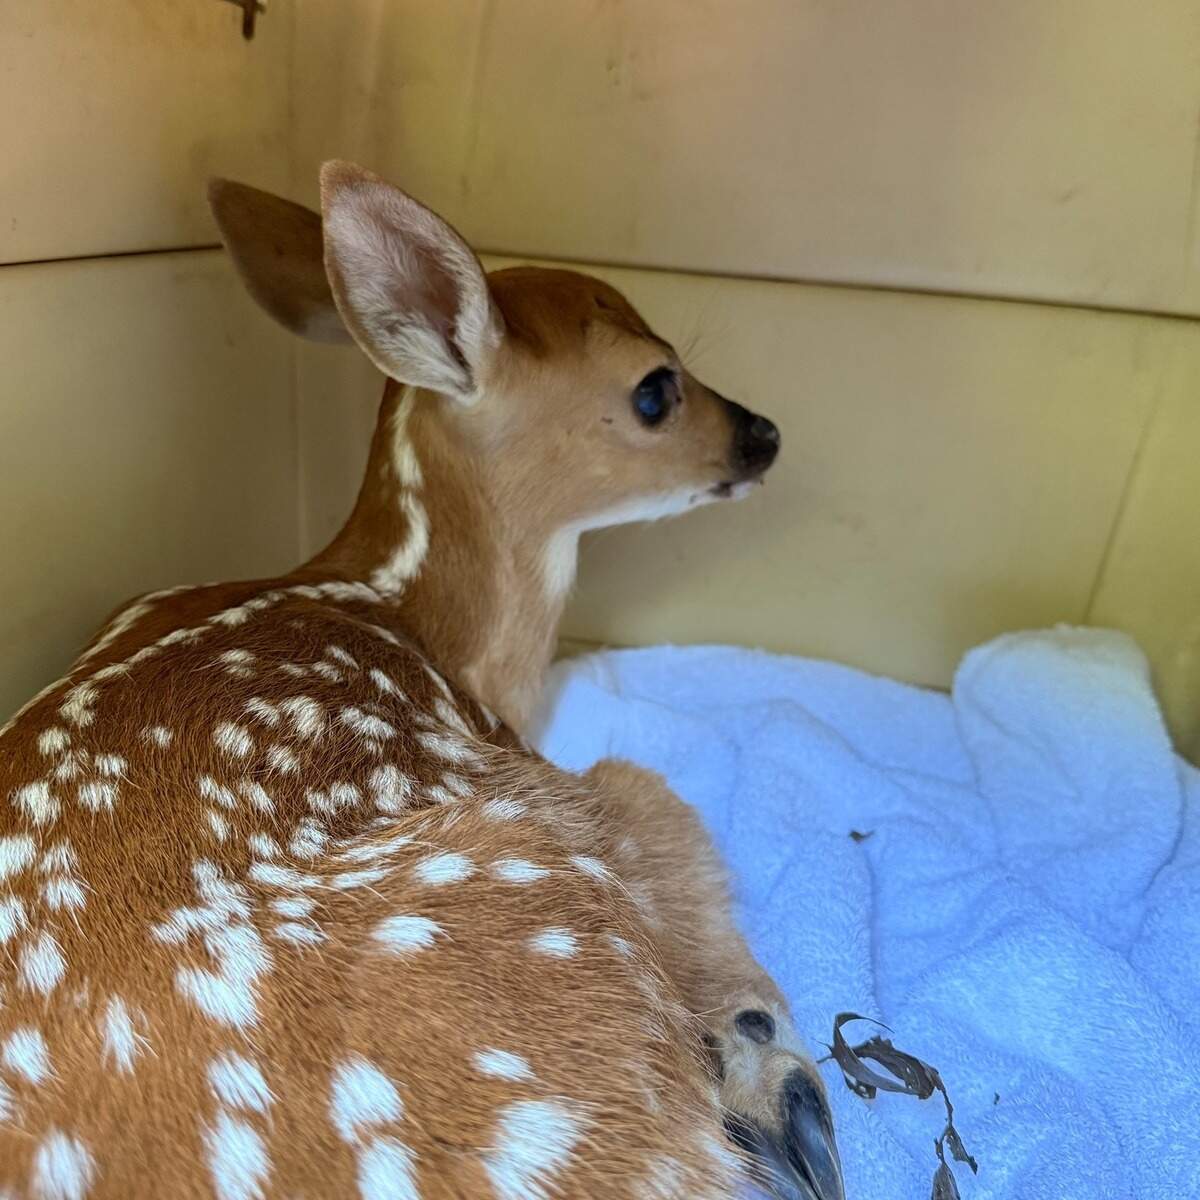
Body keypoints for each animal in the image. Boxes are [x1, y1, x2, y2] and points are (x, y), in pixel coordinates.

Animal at [0, 161, 844, 1200]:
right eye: (655, 389)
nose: (765, 434)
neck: (417, 613)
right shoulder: (549, 775)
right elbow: (661, 809)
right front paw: (767, 1069)